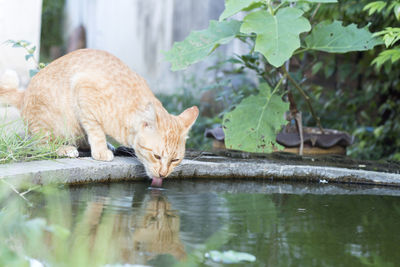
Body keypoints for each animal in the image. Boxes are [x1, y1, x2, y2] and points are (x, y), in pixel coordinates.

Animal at [0, 49, 199, 186]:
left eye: (175, 160)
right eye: (157, 156)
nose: (163, 174)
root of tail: (24, 94)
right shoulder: (83, 88)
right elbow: (95, 129)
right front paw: (101, 151)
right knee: (41, 145)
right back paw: (65, 148)